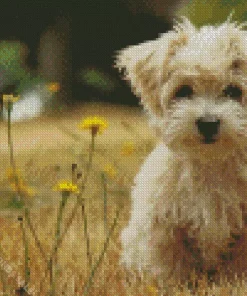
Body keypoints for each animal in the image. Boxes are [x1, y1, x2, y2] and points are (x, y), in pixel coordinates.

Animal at [115, 16, 247, 284]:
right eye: (184, 91)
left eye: (232, 91)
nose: (208, 123)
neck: (210, 163)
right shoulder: (164, 224)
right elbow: (171, 265)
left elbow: (239, 264)